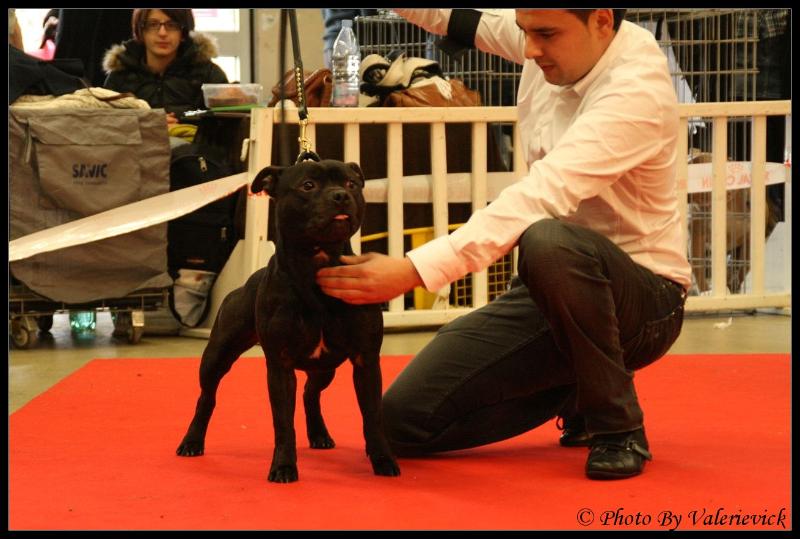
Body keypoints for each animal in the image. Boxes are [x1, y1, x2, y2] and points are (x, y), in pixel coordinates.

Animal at [176, 158, 400, 484]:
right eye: (308, 185)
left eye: (351, 184)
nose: (340, 196)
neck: (317, 265)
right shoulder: (280, 365)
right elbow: (283, 422)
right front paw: (283, 467)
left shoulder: (365, 360)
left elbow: (372, 417)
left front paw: (383, 459)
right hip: (217, 355)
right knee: (207, 396)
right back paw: (192, 441)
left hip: (325, 366)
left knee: (310, 393)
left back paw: (319, 434)